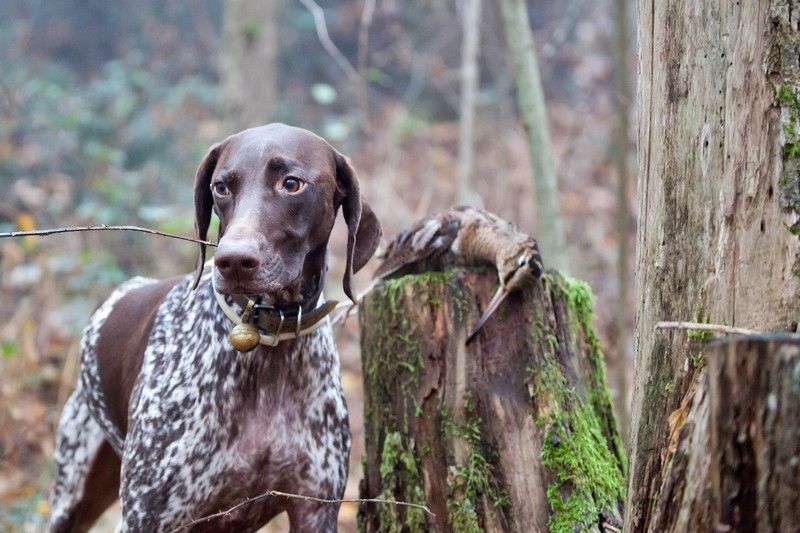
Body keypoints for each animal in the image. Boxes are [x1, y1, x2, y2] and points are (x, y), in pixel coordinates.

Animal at [48, 123, 382, 532]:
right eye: (221, 186)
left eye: (292, 183)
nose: (233, 261)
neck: (266, 340)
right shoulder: (146, 515)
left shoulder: (315, 509)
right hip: (73, 496)